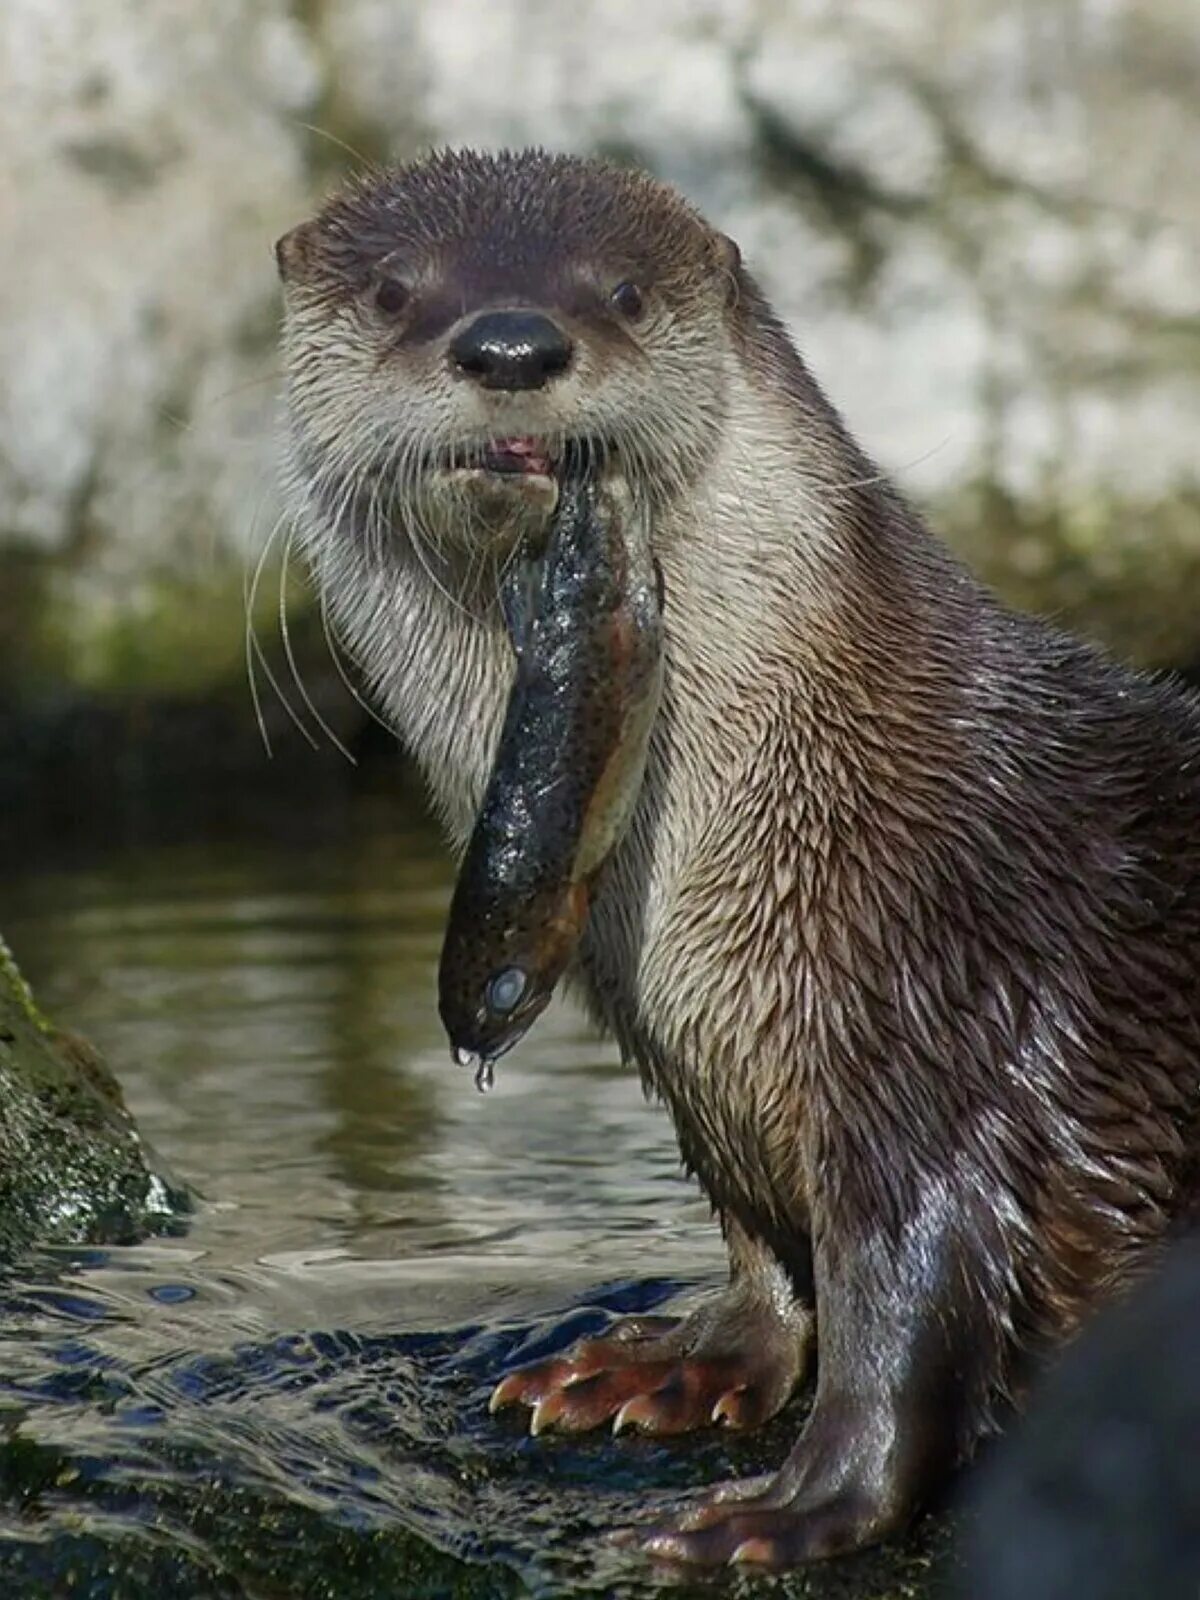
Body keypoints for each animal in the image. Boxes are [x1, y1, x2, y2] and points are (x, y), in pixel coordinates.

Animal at [276, 150, 1200, 1561]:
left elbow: (910, 1290)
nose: (510, 342)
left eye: (622, 292)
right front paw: (675, 1360)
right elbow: (767, 1253)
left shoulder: (940, 1026)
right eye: (393, 291)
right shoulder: (708, 1078)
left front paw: (795, 1506)